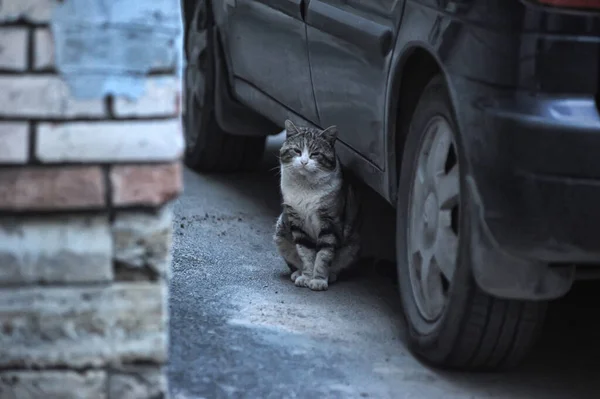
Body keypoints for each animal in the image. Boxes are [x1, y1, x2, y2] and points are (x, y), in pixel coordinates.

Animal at [274, 119, 360, 290]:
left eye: (315, 154)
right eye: (297, 151)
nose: (304, 162)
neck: (306, 187)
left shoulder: (330, 222)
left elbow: (324, 254)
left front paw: (319, 279)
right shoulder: (297, 221)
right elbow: (305, 252)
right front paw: (307, 277)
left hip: (352, 244)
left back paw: (330, 275)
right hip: (280, 229)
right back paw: (297, 273)